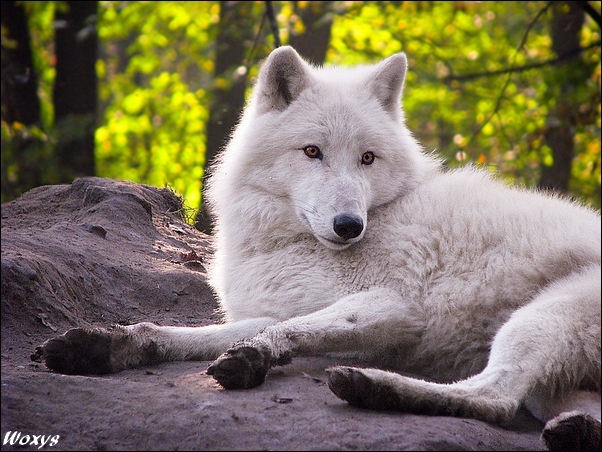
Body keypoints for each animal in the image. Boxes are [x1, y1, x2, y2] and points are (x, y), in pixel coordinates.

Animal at [38, 46, 600, 448]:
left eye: (368, 158)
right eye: (312, 151)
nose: (349, 225)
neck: (282, 244)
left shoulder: (396, 308)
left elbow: (283, 330)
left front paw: (256, 357)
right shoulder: (274, 304)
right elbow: (182, 333)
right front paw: (101, 346)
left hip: (539, 319)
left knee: (494, 398)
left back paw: (371, 386)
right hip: (553, 383)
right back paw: (576, 431)